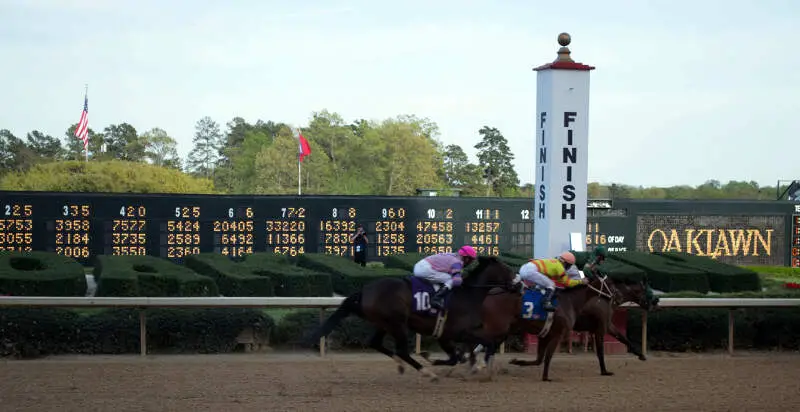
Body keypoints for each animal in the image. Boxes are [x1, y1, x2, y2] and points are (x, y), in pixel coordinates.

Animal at [306, 256, 520, 382]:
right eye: (509, 270)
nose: (519, 284)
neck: (467, 295)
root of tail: (365, 290)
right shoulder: (453, 333)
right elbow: (461, 354)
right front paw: (432, 361)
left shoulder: (461, 334)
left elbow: (467, 352)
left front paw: (473, 366)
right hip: (398, 323)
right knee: (401, 350)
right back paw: (426, 372)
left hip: (384, 323)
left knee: (376, 343)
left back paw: (401, 366)